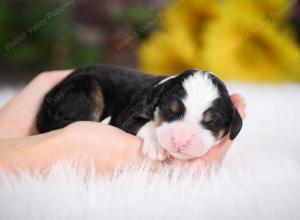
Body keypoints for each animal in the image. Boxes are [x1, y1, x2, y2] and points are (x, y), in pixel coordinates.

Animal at [36, 64, 243, 161]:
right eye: (170, 111)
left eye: (211, 122)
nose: (180, 142)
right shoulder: (127, 115)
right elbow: (145, 123)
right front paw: (157, 146)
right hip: (87, 86)